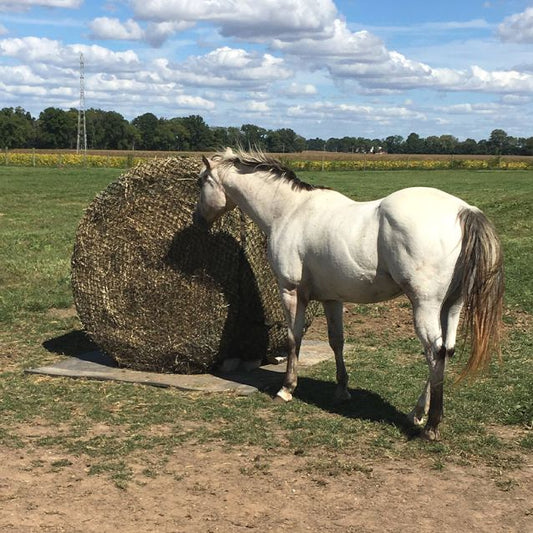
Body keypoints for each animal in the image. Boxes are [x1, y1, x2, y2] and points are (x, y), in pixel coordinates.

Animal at [192, 148, 502, 438]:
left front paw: (287, 388)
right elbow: (336, 341)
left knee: (434, 353)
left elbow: (294, 338)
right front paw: (342, 390)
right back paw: (417, 413)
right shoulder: (332, 299)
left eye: (201, 181)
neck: (289, 211)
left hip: (425, 306)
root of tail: (463, 211)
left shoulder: (291, 291)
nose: (197, 221)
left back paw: (431, 425)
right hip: (452, 305)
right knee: (446, 351)